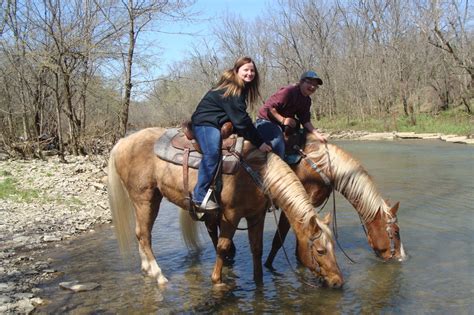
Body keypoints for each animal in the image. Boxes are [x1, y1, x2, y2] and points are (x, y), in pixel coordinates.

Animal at [107, 128, 344, 288]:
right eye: (320, 250)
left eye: (334, 245)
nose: (337, 281)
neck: (257, 172)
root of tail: (123, 141)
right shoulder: (231, 215)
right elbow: (223, 246)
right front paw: (217, 280)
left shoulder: (256, 216)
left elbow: (257, 249)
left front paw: (258, 281)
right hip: (144, 198)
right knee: (144, 235)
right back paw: (159, 275)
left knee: (141, 234)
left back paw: (147, 269)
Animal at [262, 136, 408, 270]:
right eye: (396, 231)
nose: (401, 257)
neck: (322, 168)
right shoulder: (291, 207)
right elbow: (278, 241)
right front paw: (268, 266)